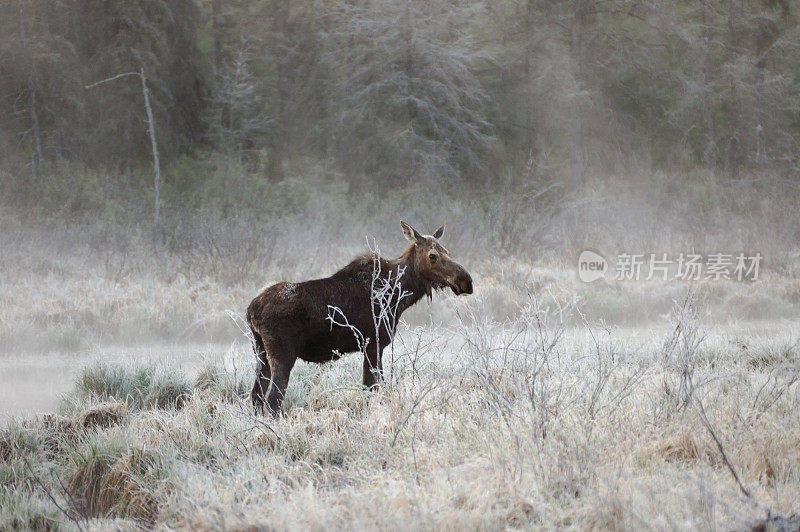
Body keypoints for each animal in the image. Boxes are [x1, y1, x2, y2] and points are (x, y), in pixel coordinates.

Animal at [247, 220, 472, 416]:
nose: (466, 281)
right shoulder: (373, 343)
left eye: (447, 252)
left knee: (256, 396)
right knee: (273, 401)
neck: (398, 295)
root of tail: (252, 310)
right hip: (282, 354)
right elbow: (372, 389)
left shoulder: (372, 346)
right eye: (432, 255)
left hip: (261, 353)